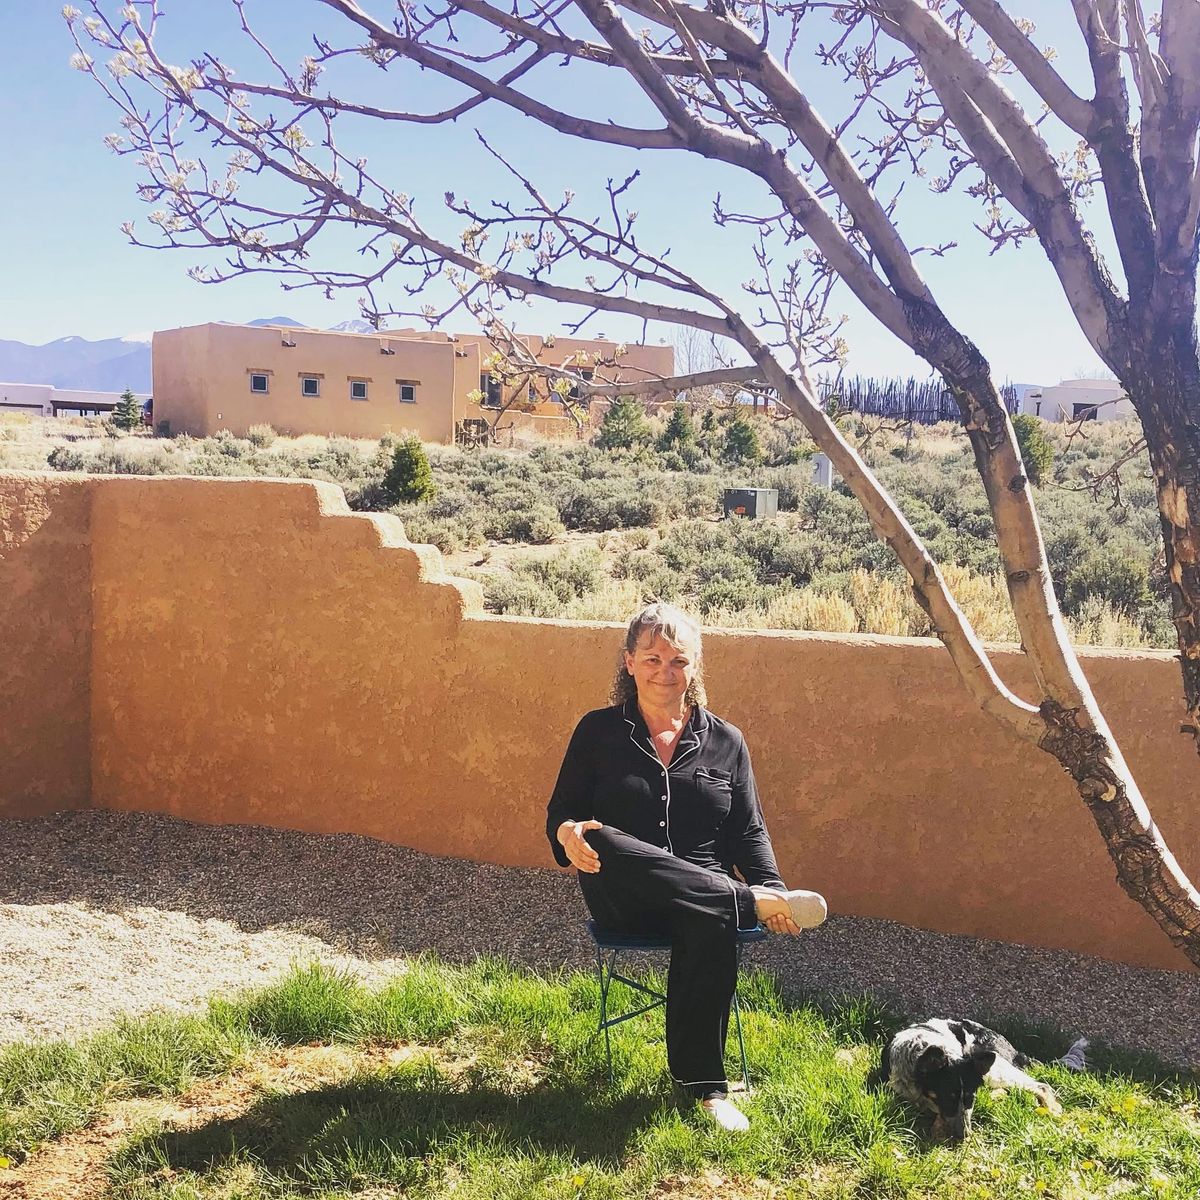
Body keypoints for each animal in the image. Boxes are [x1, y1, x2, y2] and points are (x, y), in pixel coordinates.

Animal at [873, 1022, 1089, 1142]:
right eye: (948, 1097)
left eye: (970, 1097)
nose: (964, 1135)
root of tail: (1014, 1050)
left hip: (994, 1066)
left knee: (1041, 1086)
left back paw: (1053, 1110)